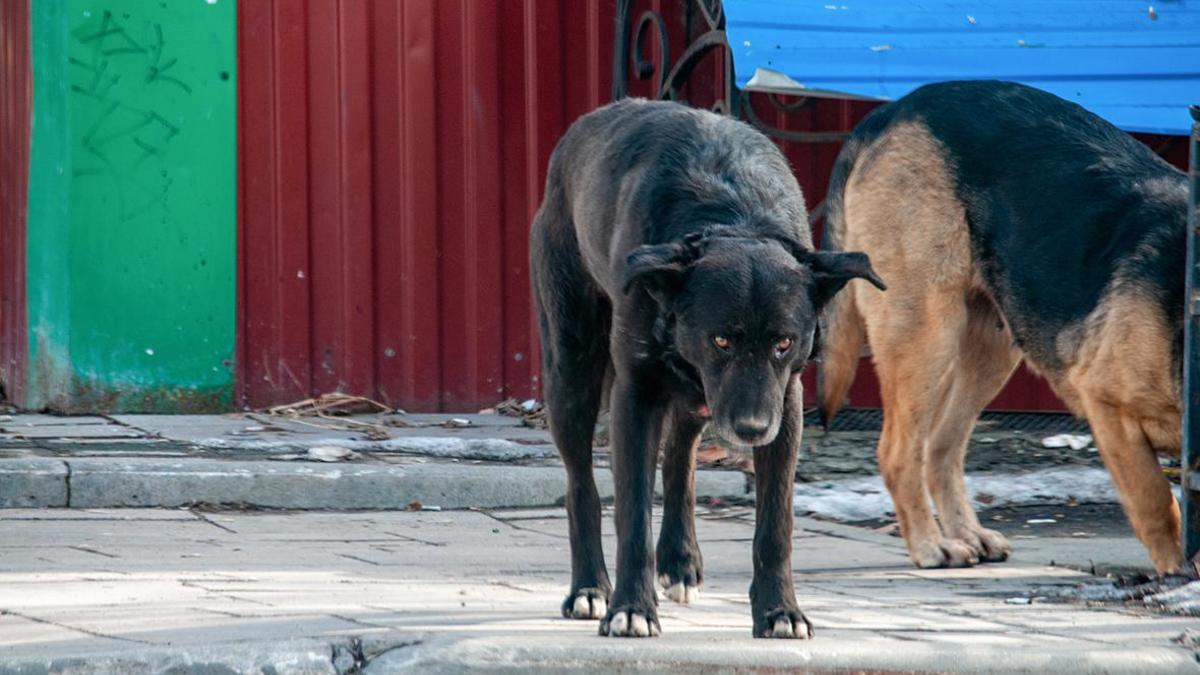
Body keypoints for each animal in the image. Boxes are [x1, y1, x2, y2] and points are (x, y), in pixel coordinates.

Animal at [530, 97, 888, 634]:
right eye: (721, 339)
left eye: (784, 343)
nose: (751, 430)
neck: (734, 216)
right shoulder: (636, 395)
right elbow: (632, 515)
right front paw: (631, 609)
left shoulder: (786, 403)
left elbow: (775, 525)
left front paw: (780, 611)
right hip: (572, 368)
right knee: (582, 486)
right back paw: (591, 588)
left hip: (698, 398)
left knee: (680, 459)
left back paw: (679, 561)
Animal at [816, 78, 1190, 571]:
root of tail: (892, 111)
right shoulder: (1108, 404)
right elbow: (1157, 504)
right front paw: (1178, 572)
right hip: (926, 332)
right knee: (899, 452)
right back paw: (930, 545)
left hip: (991, 347)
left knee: (940, 448)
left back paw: (966, 533)